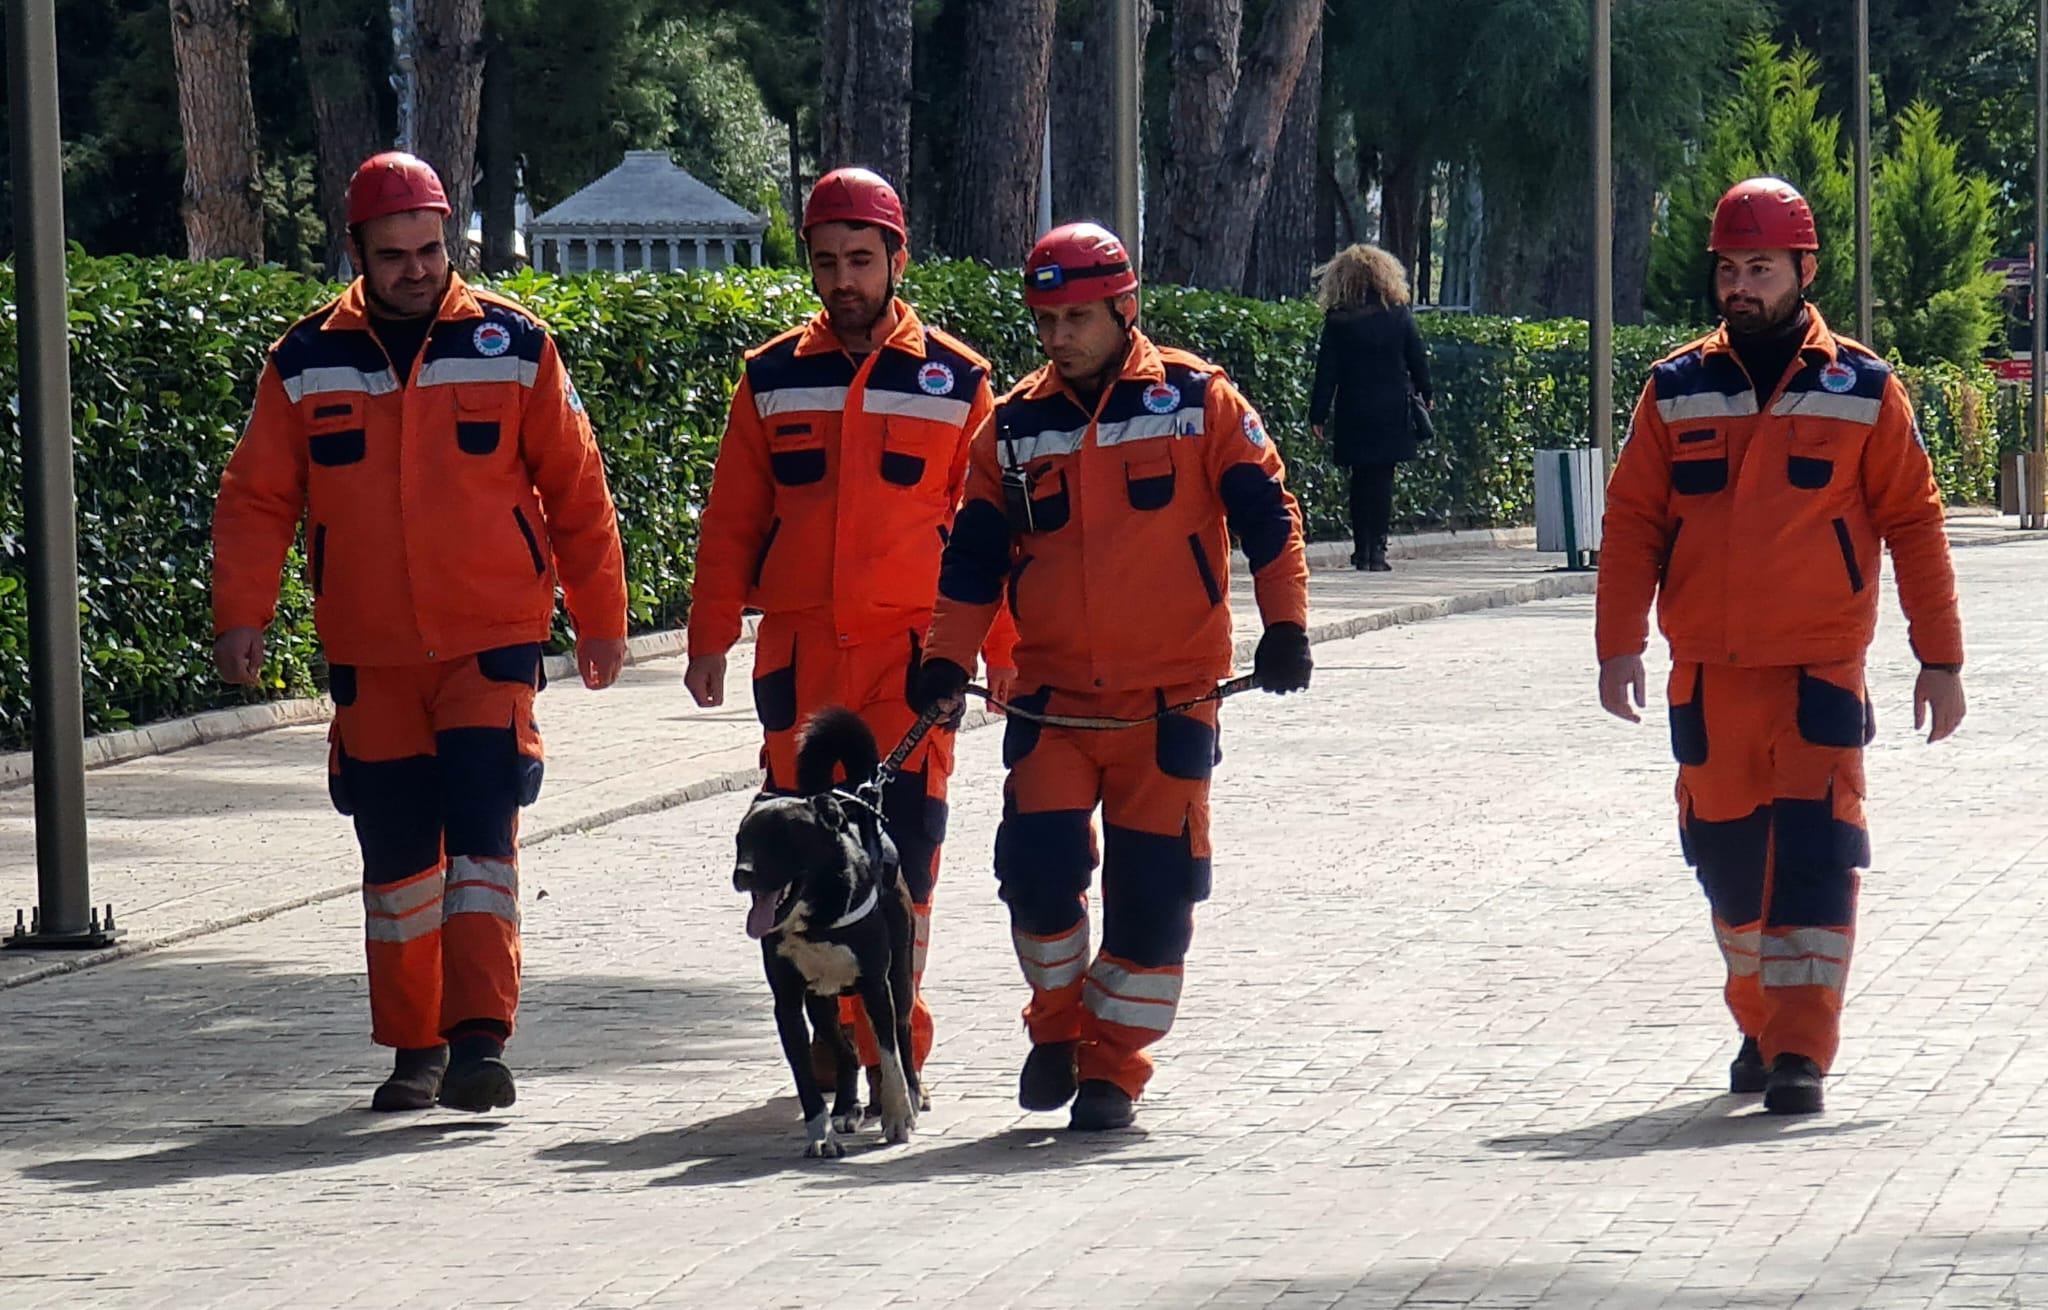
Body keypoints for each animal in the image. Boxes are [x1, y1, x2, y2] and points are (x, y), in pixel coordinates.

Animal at [733, 704, 917, 1154]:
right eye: (741, 840)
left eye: (780, 841)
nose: (741, 874)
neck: (816, 920)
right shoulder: (787, 1002)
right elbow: (805, 1078)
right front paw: (820, 1134)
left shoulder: (876, 986)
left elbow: (888, 1054)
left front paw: (897, 1115)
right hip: (821, 1002)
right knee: (845, 1052)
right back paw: (846, 1109)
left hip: (900, 977)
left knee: (903, 1034)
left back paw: (914, 1095)